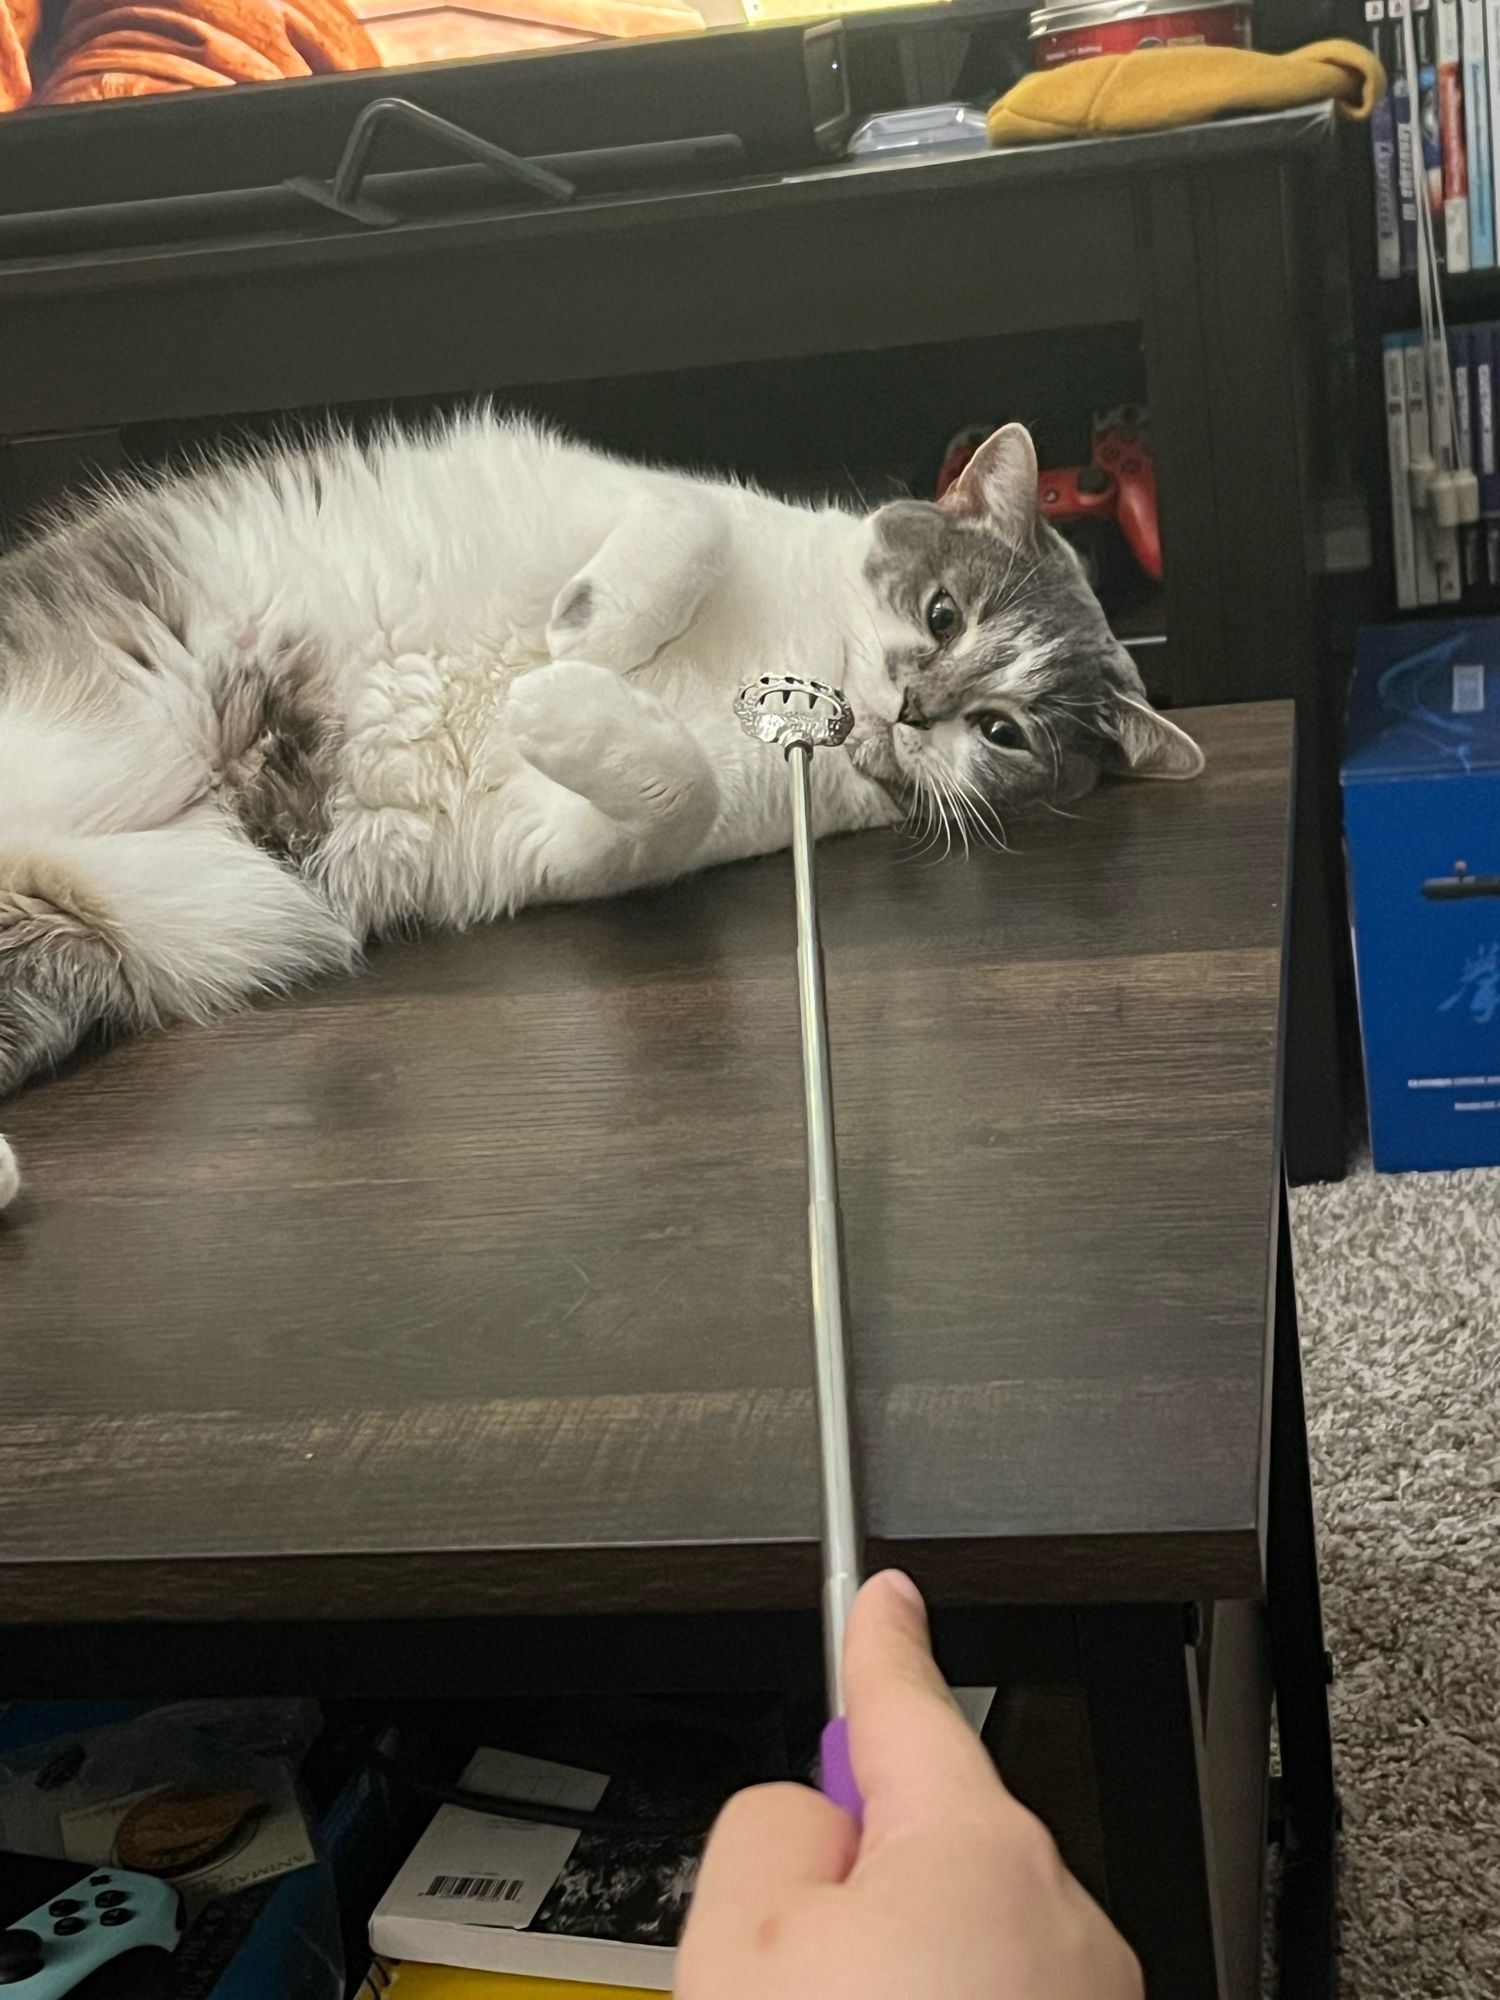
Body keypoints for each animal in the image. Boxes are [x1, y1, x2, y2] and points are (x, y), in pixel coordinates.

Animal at [0, 414, 1200, 1208]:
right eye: (945, 614)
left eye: (1003, 733)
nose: (917, 709)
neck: (794, 654)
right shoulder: (614, 484)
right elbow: (690, 514)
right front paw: (585, 635)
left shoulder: (573, 841)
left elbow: (676, 790)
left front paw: (554, 698)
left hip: (88, 934)